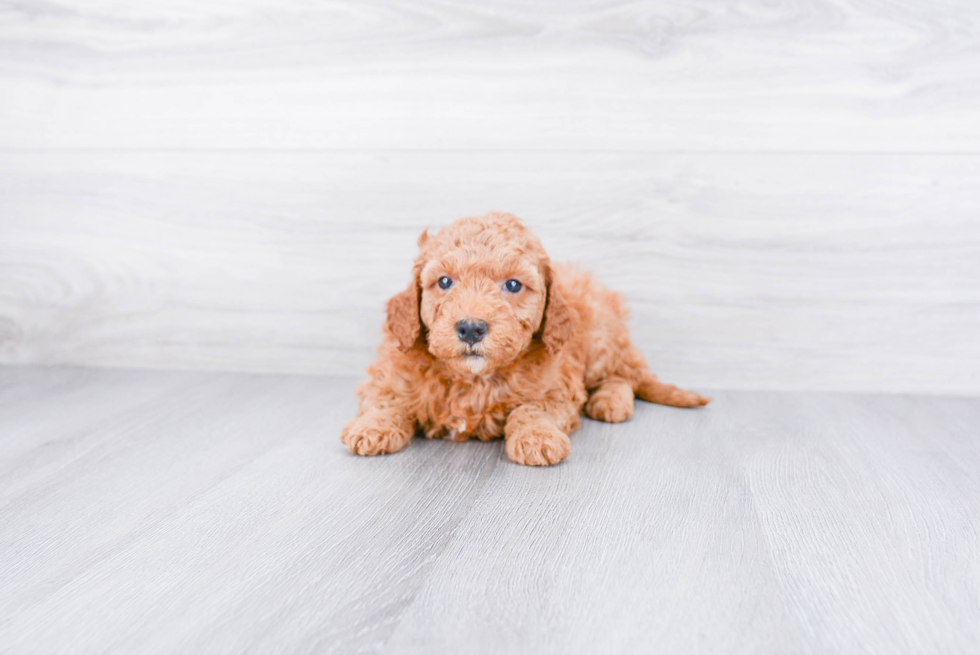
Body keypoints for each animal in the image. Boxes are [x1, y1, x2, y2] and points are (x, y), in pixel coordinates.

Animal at [340, 211, 708, 466]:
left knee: (623, 376)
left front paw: (538, 438)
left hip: (602, 339)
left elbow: (531, 410)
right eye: (444, 282)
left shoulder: (559, 389)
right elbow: (386, 401)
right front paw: (370, 428)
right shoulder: (387, 376)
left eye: (513, 285)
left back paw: (610, 401)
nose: (471, 328)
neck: (473, 380)